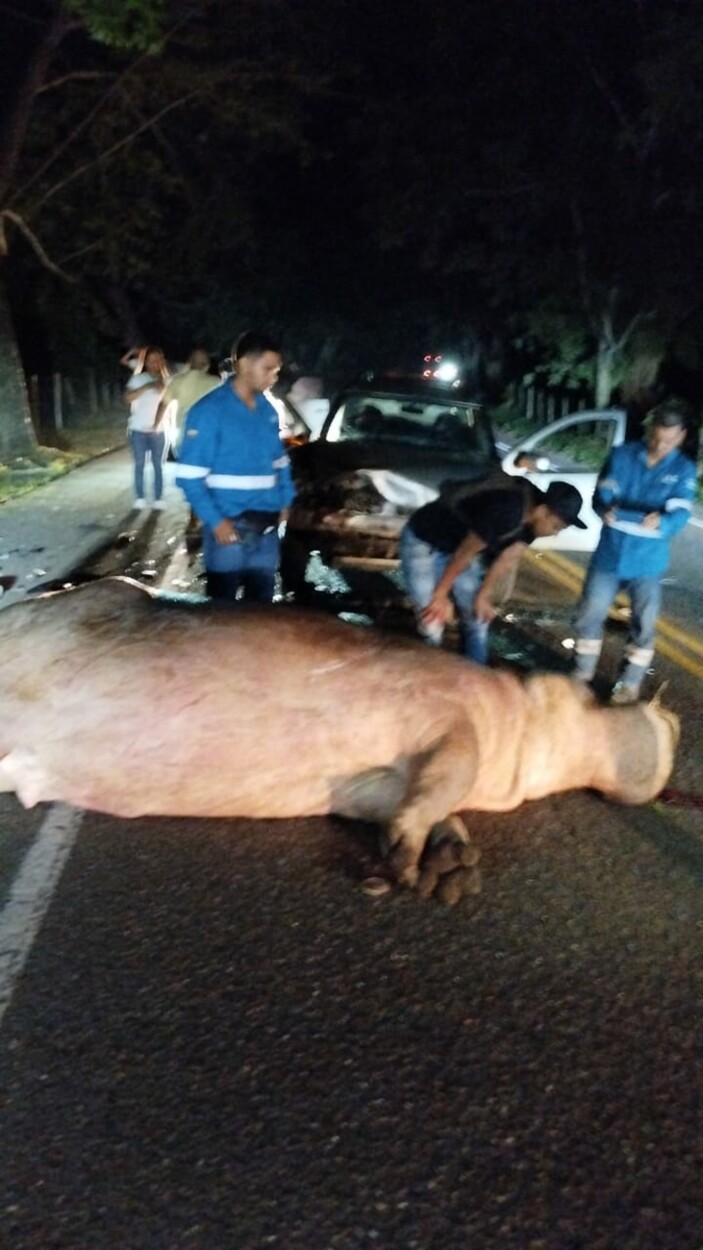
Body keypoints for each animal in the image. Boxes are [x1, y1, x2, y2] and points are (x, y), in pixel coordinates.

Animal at [0, 575, 680, 900]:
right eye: (593, 693)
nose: (671, 712)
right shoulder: (451, 719)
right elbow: (451, 767)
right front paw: (409, 856)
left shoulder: (375, 790)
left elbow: (431, 804)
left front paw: (447, 864)